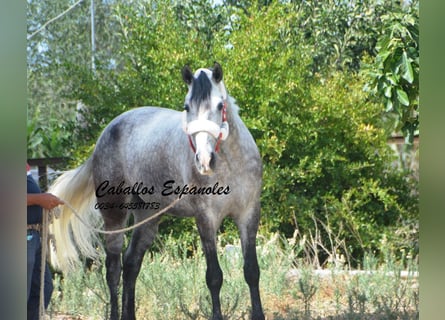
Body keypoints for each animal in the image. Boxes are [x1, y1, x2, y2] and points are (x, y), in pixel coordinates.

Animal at [48, 62, 264, 320]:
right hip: (114, 215)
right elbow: (214, 277)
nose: (204, 161)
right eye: (187, 107)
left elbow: (252, 271)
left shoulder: (248, 214)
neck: (230, 165)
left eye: (220, 105)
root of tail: (106, 134)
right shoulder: (206, 219)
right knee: (113, 269)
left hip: (148, 217)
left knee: (131, 265)